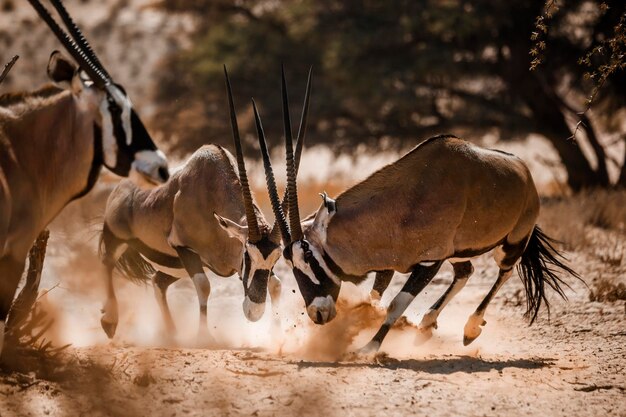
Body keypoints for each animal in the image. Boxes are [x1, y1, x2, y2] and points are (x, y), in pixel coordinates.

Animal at [98, 66, 310, 340]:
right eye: (246, 254)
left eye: (275, 259)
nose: (254, 312)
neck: (213, 196)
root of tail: (120, 188)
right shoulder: (184, 247)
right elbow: (203, 285)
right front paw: (203, 336)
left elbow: (275, 285)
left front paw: (275, 334)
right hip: (120, 239)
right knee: (107, 263)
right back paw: (110, 321)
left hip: (174, 266)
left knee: (158, 283)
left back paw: (171, 333)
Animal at [251, 70, 576, 352]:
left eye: (309, 257)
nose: (318, 314)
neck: (404, 202)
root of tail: (526, 174)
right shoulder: (392, 264)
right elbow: (375, 296)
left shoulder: (429, 262)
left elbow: (397, 302)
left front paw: (369, 347)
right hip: (457, 252)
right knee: (466, 272)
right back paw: (426, 324)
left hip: (511, 243)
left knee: (503, 273)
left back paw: (470, 328)